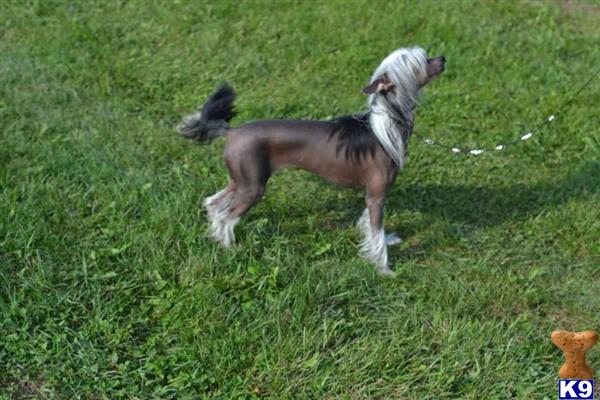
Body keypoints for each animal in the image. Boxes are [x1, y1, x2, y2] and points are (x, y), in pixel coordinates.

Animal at [178, 47, 446, 276]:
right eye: (421, 63)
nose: (443, 58)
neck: (386, 125)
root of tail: (231, 131)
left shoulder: (371, 195)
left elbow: (370, 225)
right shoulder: (377, 196)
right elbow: (376, 231)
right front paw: (384, 268)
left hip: (241, 180)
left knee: (213, 203)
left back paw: (217, 239)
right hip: (252, 188)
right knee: (226, 216)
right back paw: (230, 249)